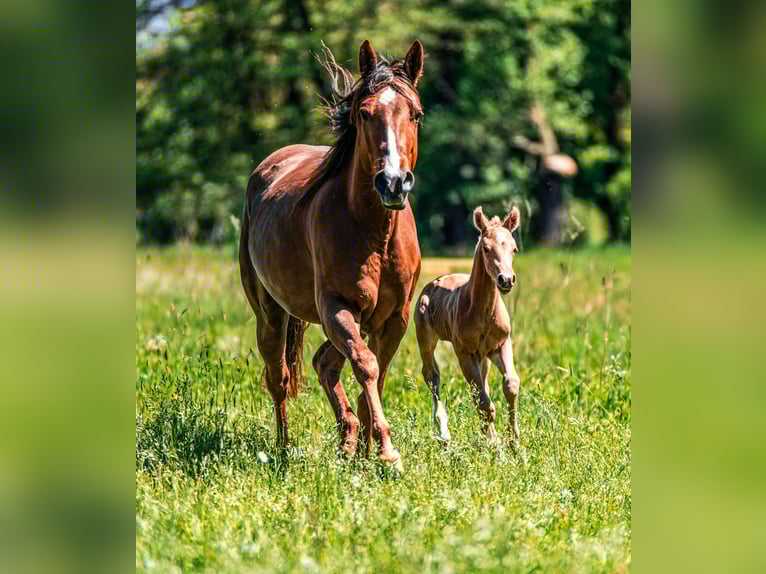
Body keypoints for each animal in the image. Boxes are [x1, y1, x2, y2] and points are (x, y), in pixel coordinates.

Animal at [239, 40, 425, 471]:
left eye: (416, 114)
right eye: (364, 112)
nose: (393, 182)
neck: (373, 231)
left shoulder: (395, 317)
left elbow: (376, 372)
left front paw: (370, 450)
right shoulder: (337, 307)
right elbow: (366, 366)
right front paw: (387, 451)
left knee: (325, 362)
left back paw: (349, 440)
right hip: (270, 315)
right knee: (279, 378)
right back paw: (284, 448)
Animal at [414, 206, 522, 448]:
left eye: (514, 249)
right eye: (486, 248)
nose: (506, 280)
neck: (484, 313)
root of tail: (434, 282)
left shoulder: (501, 344)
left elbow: (510, 385)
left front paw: (514, 443)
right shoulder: (463, 351)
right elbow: (483, 403)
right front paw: (495, 446)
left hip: (483, 356)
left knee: (481, 385)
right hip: (426, 339)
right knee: (431, 374)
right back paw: (443, 433)